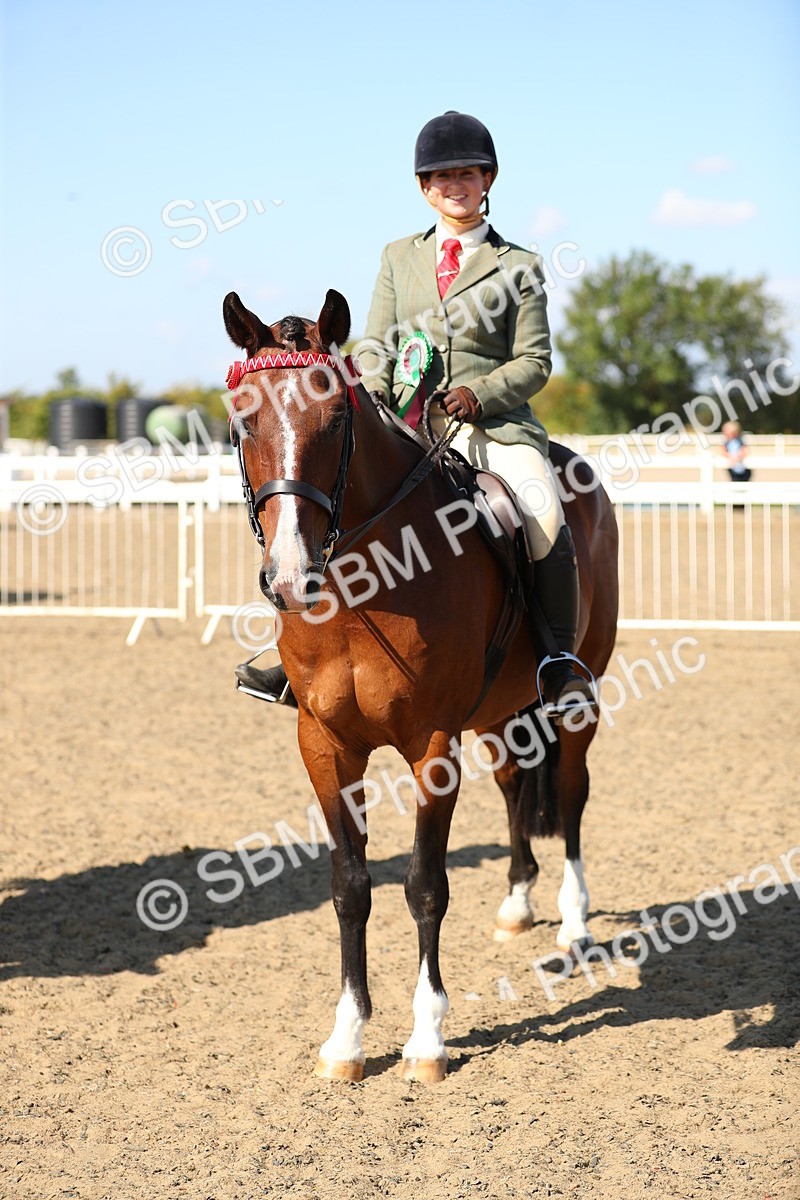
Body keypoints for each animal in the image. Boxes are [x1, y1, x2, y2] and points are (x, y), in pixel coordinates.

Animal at [223, 288, 619, 1083]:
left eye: (335, 419)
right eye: (244, 419)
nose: (291, 577)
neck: (362, 589)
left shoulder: (432, 746)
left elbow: (424, 885)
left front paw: (428, 1039)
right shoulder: (324, 745)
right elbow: (350, 886)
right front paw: (346, 1038)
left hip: (574, 701)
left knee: (569, 792)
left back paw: (573, 921)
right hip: (500, 715)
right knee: (514, 786)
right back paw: (518, 903)